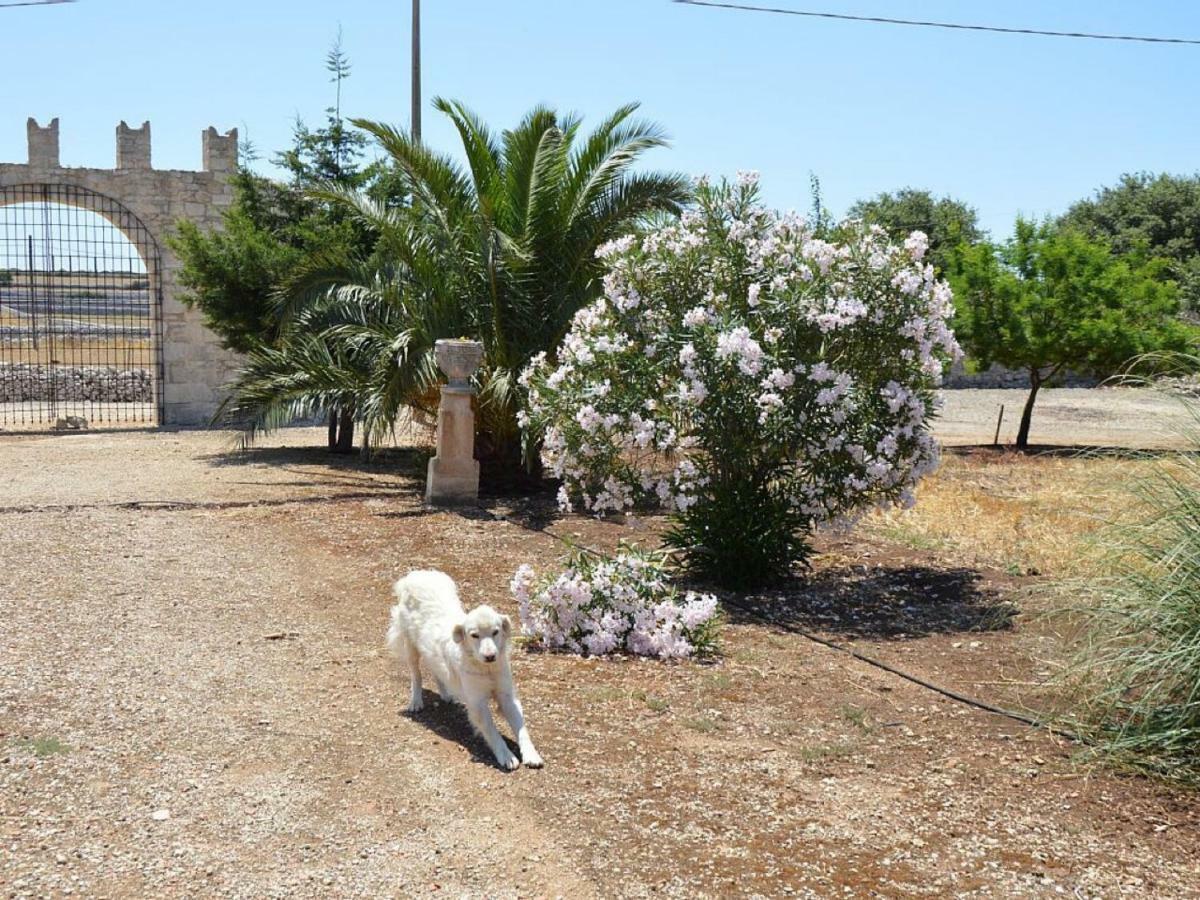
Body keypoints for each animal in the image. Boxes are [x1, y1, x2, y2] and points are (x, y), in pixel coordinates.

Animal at [384, 573, 544, 772]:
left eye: (495, 632)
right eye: (474, 635)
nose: (490, 656)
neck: (486, 668)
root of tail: (416, 574)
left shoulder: (507, 696)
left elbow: (522, 729)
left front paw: (531, 754)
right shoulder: (477, 703)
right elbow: (492, 731)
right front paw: (506, 755)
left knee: (437, 671)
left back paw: (446, 694)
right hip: (411, 648)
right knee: (416, 675)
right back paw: (416, 701)